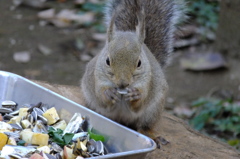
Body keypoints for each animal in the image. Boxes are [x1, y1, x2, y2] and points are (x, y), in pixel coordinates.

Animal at [81, 0, 185, 148]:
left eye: (139, 63)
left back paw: (151, 135)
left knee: (144, 126)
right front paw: (108, 94)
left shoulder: (147, 83)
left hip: (152, 111)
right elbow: (101, 96)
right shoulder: (97, 78)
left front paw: (135, 95)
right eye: (107, 60)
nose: (123, 84)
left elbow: (139, 103)